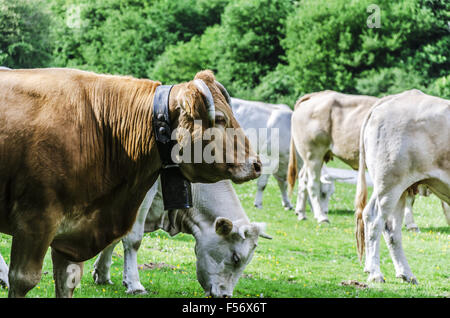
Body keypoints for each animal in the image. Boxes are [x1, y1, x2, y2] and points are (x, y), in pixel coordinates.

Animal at [356, 89, 450, 284]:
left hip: (399, 188)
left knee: (391, 228)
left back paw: (405, 273)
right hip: (389, 182)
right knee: (374, 218)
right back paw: (376, 273)